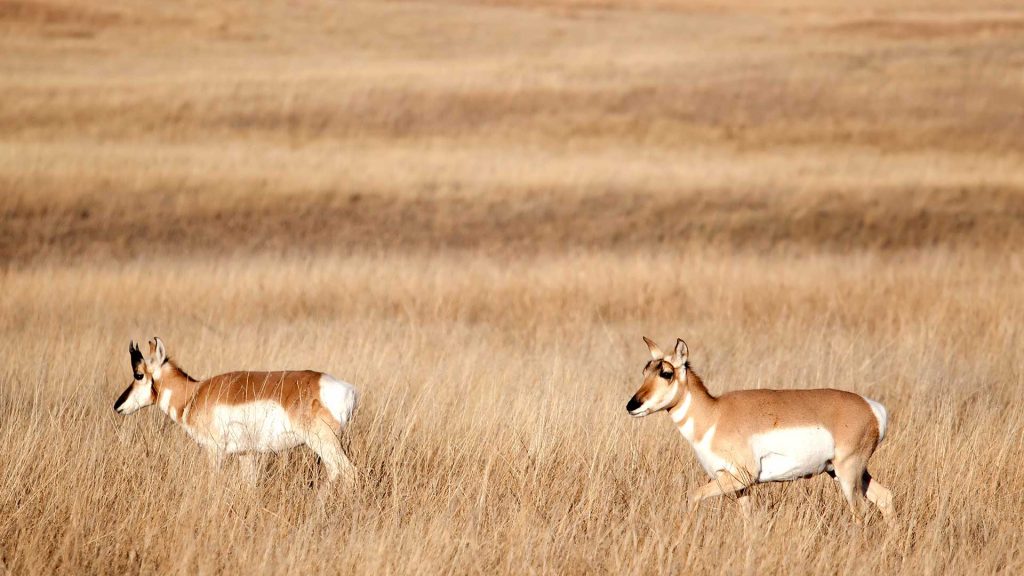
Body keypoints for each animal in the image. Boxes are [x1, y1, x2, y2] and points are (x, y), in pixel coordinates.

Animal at [112, 338, 358, 481]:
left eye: (138, 374)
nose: (118, 406)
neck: (193, 393)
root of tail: (347, 389)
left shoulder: (214, 451)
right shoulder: (245, 455)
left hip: (323, 443)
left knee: (346, 472)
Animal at [626, 336, 892, 520]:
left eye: (666, 372)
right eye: (645, 370)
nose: (632, 405)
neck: (714, 415)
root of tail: (873, 408)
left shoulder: (741, 476)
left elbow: (693, 495)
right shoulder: (740, 486)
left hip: (847, 472)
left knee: (861, 511)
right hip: (841, 471)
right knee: (885, 497)